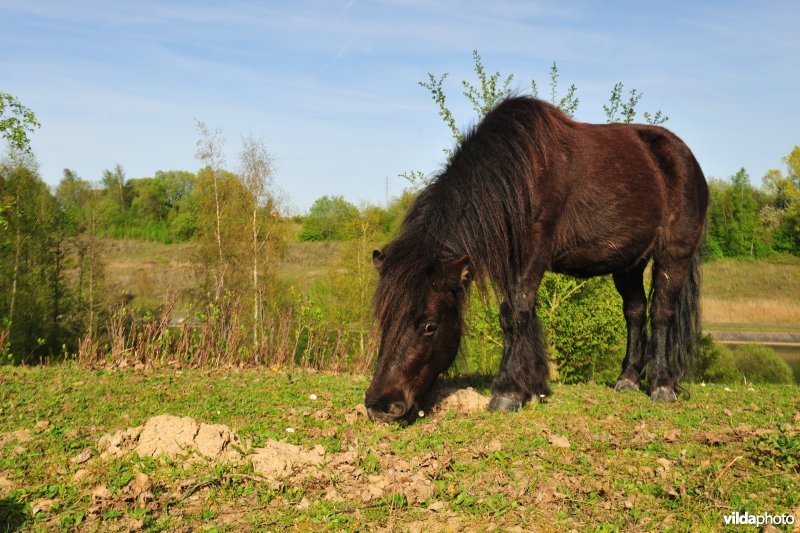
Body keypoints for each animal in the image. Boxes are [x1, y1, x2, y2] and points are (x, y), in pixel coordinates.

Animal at [364, 94, 708, 420]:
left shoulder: (533, 253)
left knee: (661, 312)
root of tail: (686, 158)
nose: (380, 405)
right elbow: (519, 315)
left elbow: (516, 314)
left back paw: (661, 385)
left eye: (429, 326)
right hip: (629, 264)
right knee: (635, 312)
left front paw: (507, 392)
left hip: (674, 255)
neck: (518, 175)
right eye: (384, 318)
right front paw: (534, 387)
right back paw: (627, 379)